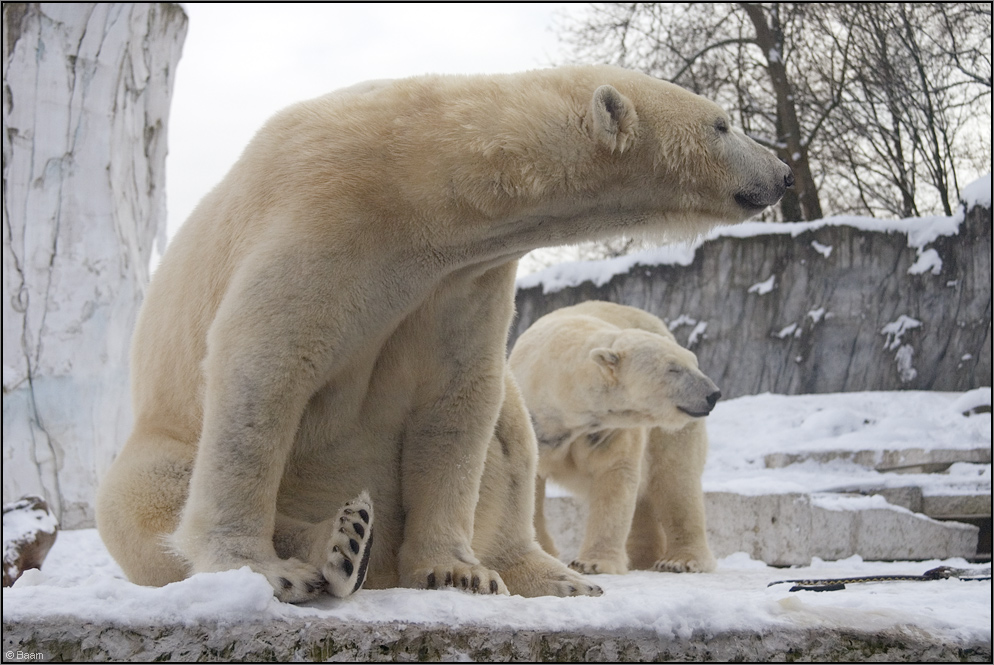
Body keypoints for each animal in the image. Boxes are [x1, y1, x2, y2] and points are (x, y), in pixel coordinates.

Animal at [512, 302, 720, 576]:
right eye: (673, 368)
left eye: (694, 363)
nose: (713, 394)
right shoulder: (535, 421)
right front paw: (545, 552)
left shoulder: (610, 428)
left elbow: (615, 476)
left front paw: (592, 563)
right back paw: (643, 557)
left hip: (672, 431)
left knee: (677, 478)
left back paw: (680, 560)